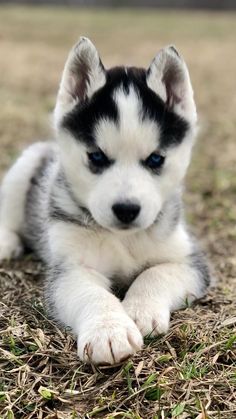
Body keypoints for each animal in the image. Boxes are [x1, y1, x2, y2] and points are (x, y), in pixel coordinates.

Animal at [0, 38, 210, 364]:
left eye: (156, 159)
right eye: (96, 157)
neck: (124, 238)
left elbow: (156, 273)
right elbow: (92, 294)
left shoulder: (190, 261)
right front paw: (109, 330)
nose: (126, 210)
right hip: (25, 166)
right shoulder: (70, 268)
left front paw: (138, 310)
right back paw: (6, 242)